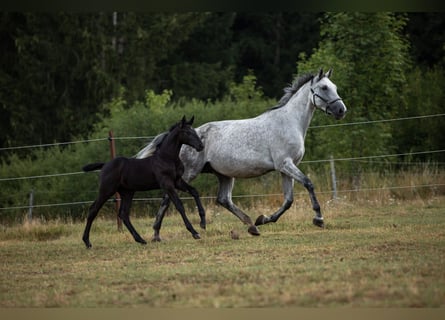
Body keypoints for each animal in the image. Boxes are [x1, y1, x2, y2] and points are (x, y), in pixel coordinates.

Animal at [137, 70, 346, 240]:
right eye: (324, 87)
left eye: (335, 87)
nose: (341, 110)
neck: (289, 122)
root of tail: (182, 137)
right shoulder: (285, 164)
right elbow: (308, 184)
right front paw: (318, 218)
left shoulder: (285, 168)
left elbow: (288, 201)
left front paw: (263, 219)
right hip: (189, 173)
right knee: (167, 197)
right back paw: (156, 234)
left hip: (224, 175)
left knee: (223, 200)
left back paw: (252, 226)